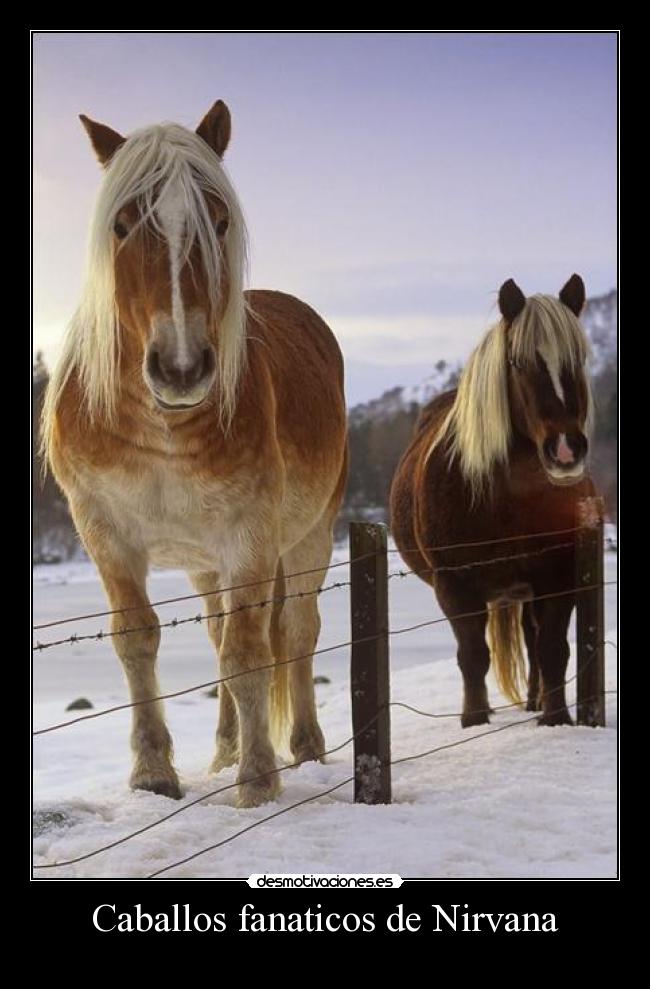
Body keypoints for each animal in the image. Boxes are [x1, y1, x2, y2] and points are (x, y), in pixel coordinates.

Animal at [41, 100, 348, 807]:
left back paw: (305, 750)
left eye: (219, 220)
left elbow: (248, 652)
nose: (180, 368)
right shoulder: (103, 531)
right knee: (215, 632)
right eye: (123, 223)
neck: (163, 428)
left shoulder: (250, 535)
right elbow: (138, 638)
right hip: (207, 565)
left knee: (297, 632)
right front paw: (154, 774)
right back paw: (224, 750)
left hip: (309, 537)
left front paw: (258, 780)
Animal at [390, 276, 596, 728]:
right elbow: (472, 656)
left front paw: (556, 719)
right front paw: (474, 719)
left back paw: (537, 701)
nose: (565, 449)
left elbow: (553, 649)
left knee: (533, 640)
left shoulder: (558, 577)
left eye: (579, 358)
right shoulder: (455, 587)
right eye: (517, 363)